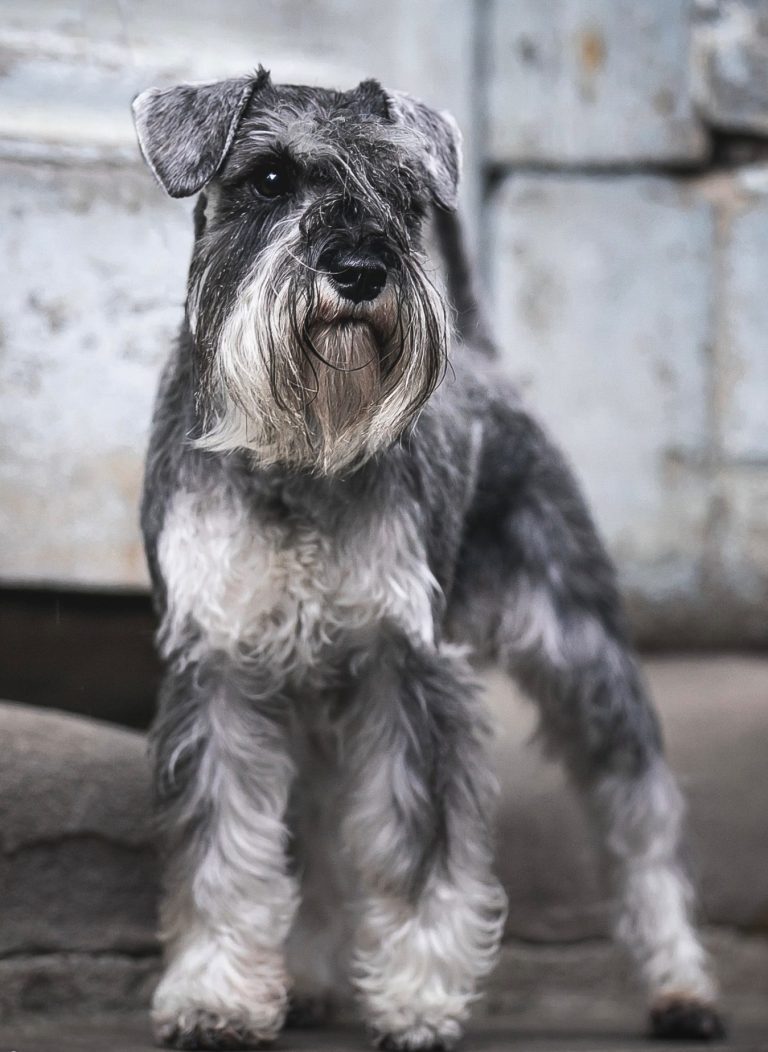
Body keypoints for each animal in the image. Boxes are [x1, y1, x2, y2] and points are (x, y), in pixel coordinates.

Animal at [131, 69, 724, 1050]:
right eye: (267, 178)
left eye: (407, 196)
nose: (361, 271)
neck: (297, 452)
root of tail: (486, 358)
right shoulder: (217, 669)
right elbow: (222, 849)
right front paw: (214, 995)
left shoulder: (407, 663)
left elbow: (421, 849)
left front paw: (416, 999)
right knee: (323, 825)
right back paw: (314, 977)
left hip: (584, 655)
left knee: (640, 818)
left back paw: (682, 984)